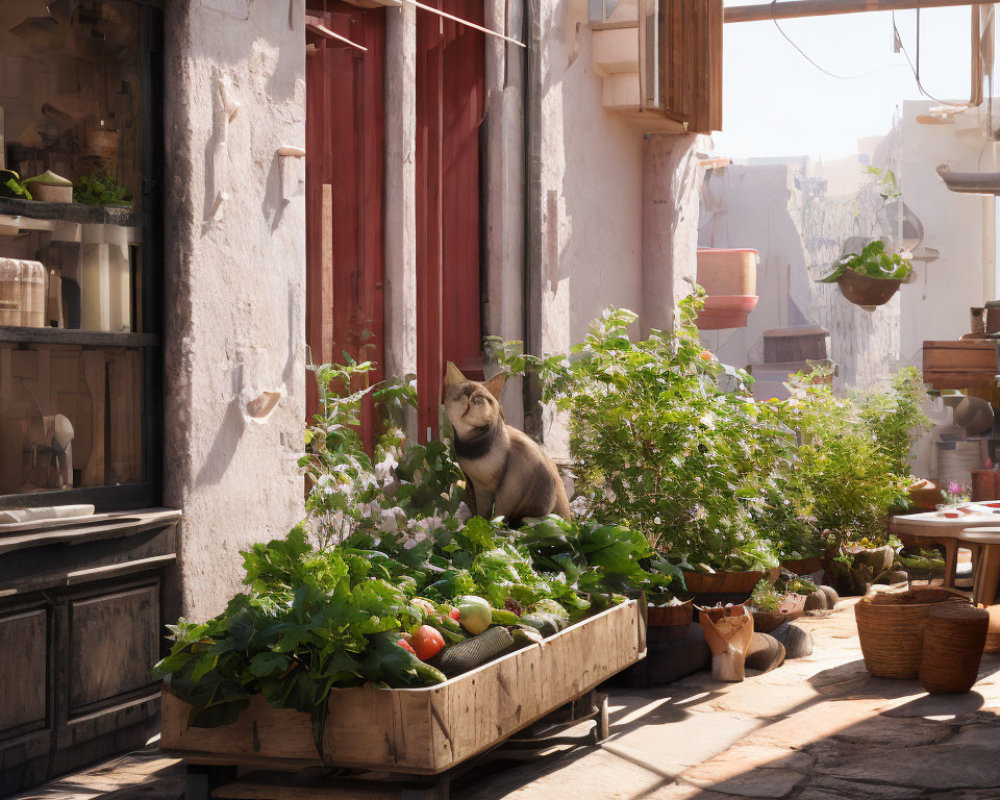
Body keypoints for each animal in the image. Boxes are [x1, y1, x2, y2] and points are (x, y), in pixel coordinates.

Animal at [446, 360, 572, 524]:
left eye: (480, 396)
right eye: (463, 392)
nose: (472, 398)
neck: (471, 445)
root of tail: (570, 521)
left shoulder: (489, 488)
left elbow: (486, 513)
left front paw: (483, 524)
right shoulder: (470, 483)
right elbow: (476, 510)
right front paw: (472, 521)